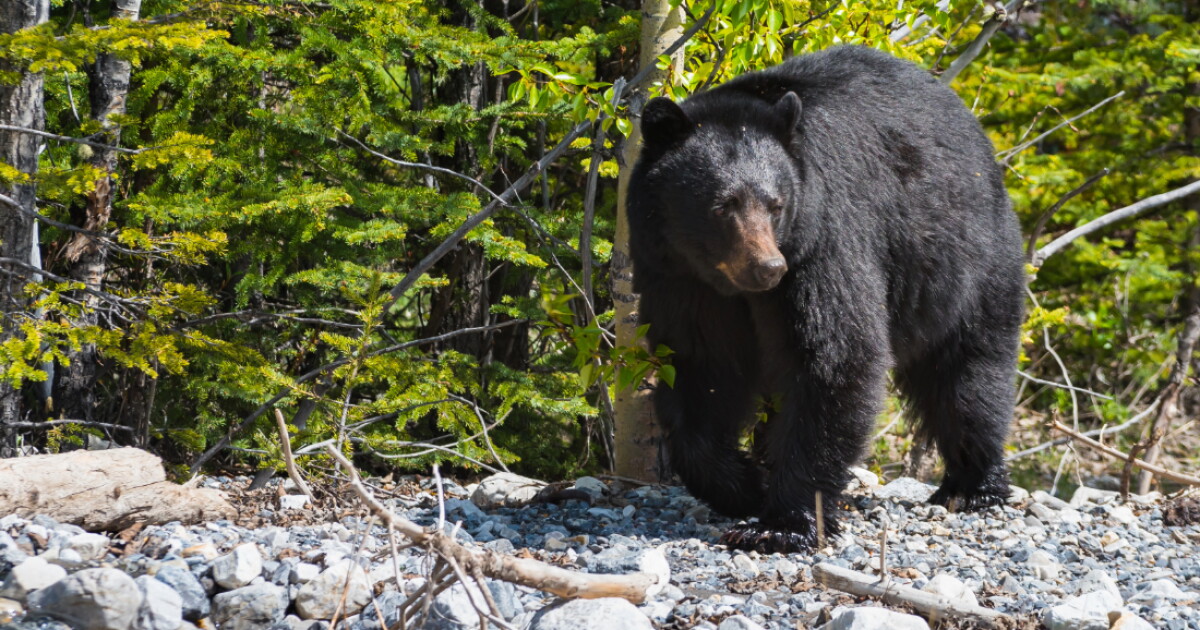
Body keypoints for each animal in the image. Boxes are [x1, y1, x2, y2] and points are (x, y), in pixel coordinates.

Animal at [625, 45, 1025, 553]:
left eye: (775, 204)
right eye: (723, 205)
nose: (769, 268)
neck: (729, 285)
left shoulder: (822, 243)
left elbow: (834, 357)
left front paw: (784, 522)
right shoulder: (680, 278)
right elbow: (702, 368)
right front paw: (745, 486)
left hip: (968, 261)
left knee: (969, 374)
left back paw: (973, 486)